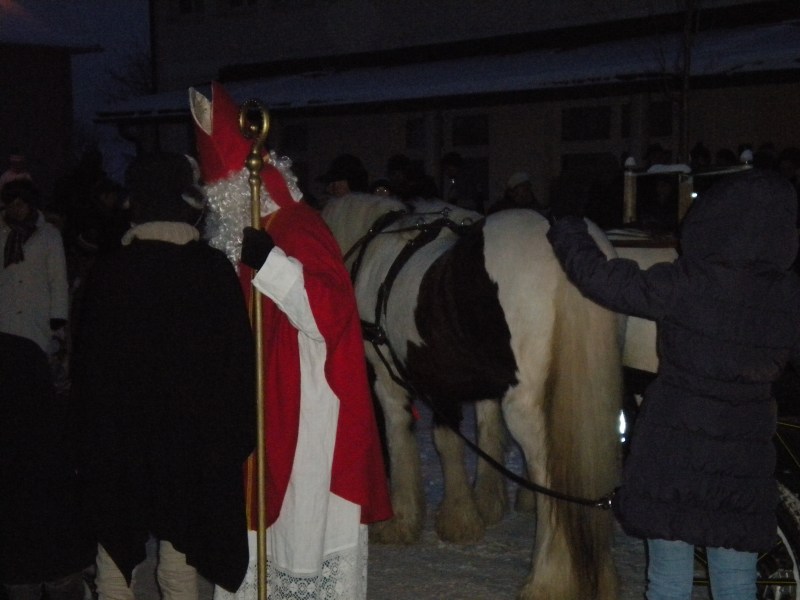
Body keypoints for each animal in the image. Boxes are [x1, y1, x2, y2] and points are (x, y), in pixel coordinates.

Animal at [322, 195, 620, 596]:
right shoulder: (478, 386)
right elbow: (485, 435)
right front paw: (483, 505)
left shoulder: (396, 383)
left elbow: (417, 440)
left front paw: (410, 519)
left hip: (528, 409)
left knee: (547, 477)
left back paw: (547, 580)